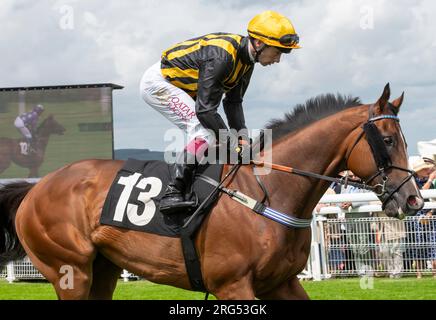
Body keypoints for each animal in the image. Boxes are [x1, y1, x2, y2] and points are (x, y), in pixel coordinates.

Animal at [0, 84, 422, 298]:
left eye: (404, 139)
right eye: (387, 140)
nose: (413, 200)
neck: (270, 190)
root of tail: (35, 189)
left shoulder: (281, 283)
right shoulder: (232, 285)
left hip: (102, 270)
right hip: (69, 270)